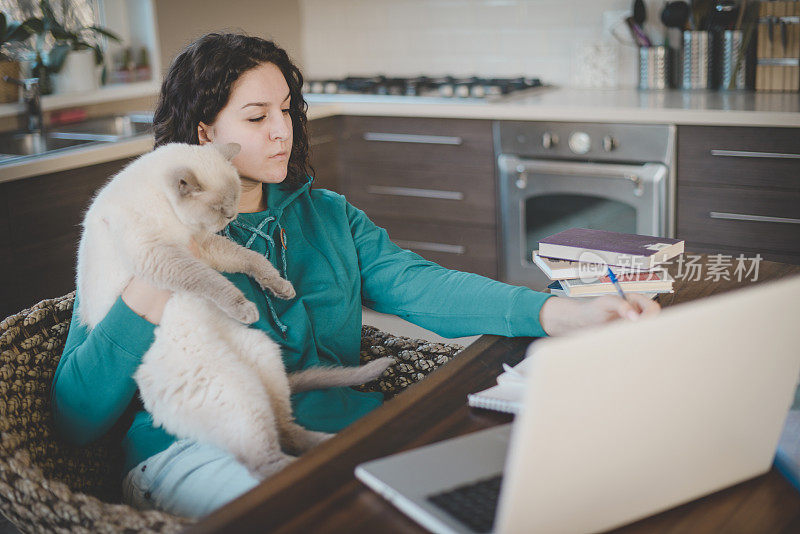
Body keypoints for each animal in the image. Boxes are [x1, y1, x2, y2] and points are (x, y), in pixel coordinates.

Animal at [79, 143, 394, 482]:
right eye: (220, 208)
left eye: (232, 204)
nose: (231, 217)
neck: (176, 220)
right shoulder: (165, 256)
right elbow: (211, 281)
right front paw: (247, 309)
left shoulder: (205, 246)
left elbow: (251, 260)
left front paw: (282, 289)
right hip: (238, 395)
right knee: (262, 459)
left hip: (264, 358)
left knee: (284, 429)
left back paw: (329, 444)